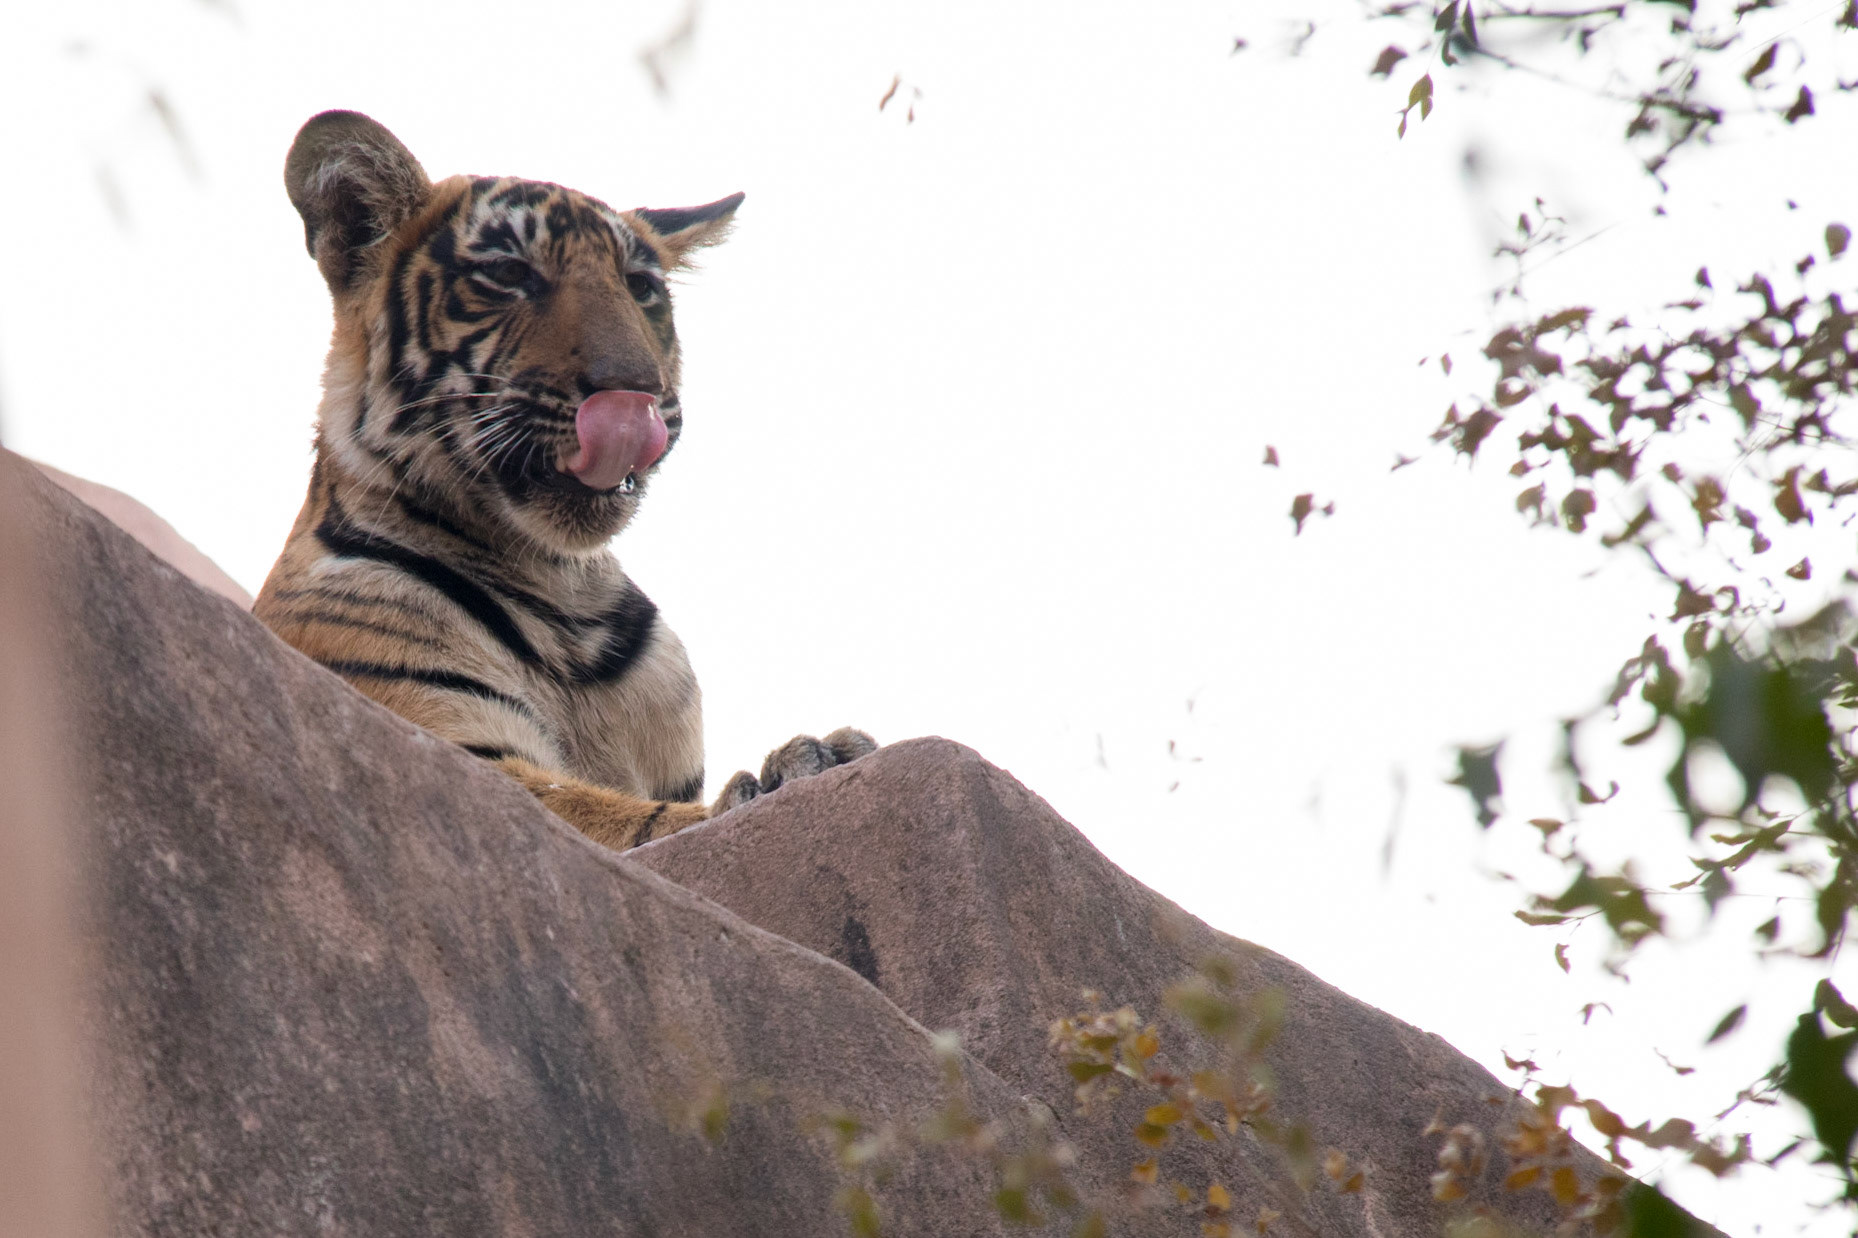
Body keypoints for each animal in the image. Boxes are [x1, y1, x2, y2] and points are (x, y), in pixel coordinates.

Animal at [254, 110, 874, 852]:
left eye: (641, 288)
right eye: (509, 273)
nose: (636, 390)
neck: (563, 594)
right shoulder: (449, 744)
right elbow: (621, 815)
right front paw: (794, 767)